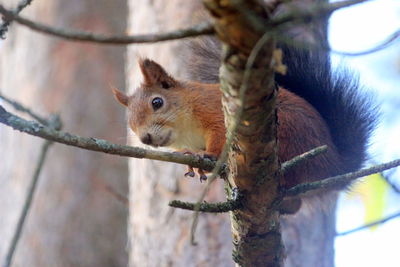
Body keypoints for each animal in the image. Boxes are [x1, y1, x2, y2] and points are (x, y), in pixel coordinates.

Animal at [111, 38, 376, 214]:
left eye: (157, 102)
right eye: (130, 123)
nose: (145, 138)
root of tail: (334, 166)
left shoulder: (215, 114)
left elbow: (218, 139)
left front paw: (206, 155)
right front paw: (190, 157)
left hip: (287, 130)